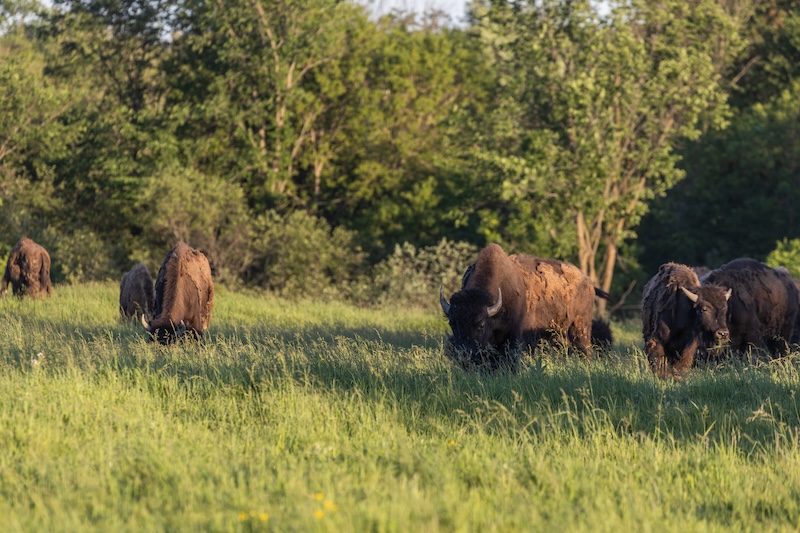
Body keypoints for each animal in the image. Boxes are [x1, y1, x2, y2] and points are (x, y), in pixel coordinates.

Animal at [440, 243, 603, 370]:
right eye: (452, 324)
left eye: (481, 324)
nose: (463, 357)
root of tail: (588, 282)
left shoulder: (515, 337)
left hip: (580, 329)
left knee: (584, 350)